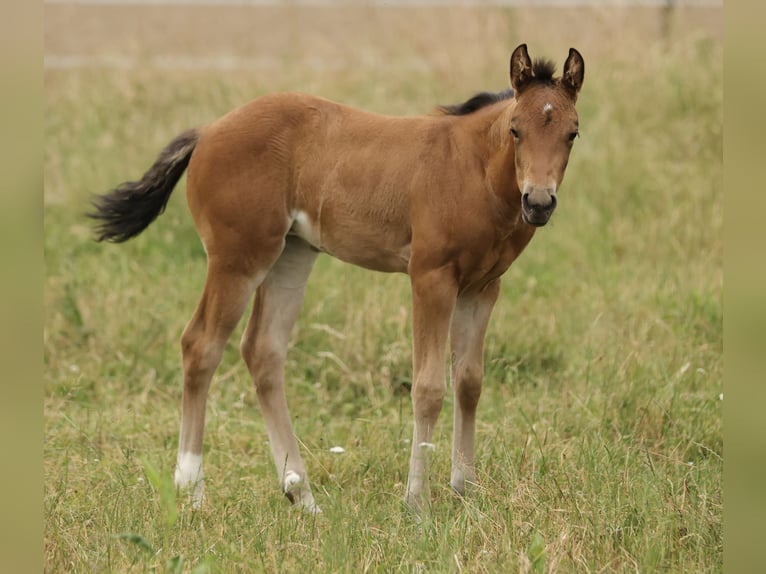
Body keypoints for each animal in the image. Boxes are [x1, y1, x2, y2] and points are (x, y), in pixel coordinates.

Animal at [90, 44, 584, 513]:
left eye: (572, 132)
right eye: (516, 129)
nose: (538, 202)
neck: (474, 170)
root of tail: (208, 130)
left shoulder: (483, 287)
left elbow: (469, 383)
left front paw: (467, 493)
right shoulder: (430, 278)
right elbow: (428, 388)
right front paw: (416, 503)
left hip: (292, 254)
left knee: (263, 351)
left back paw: (302, 496)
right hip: (238, 257)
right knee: (201, 345)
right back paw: (192, 492)